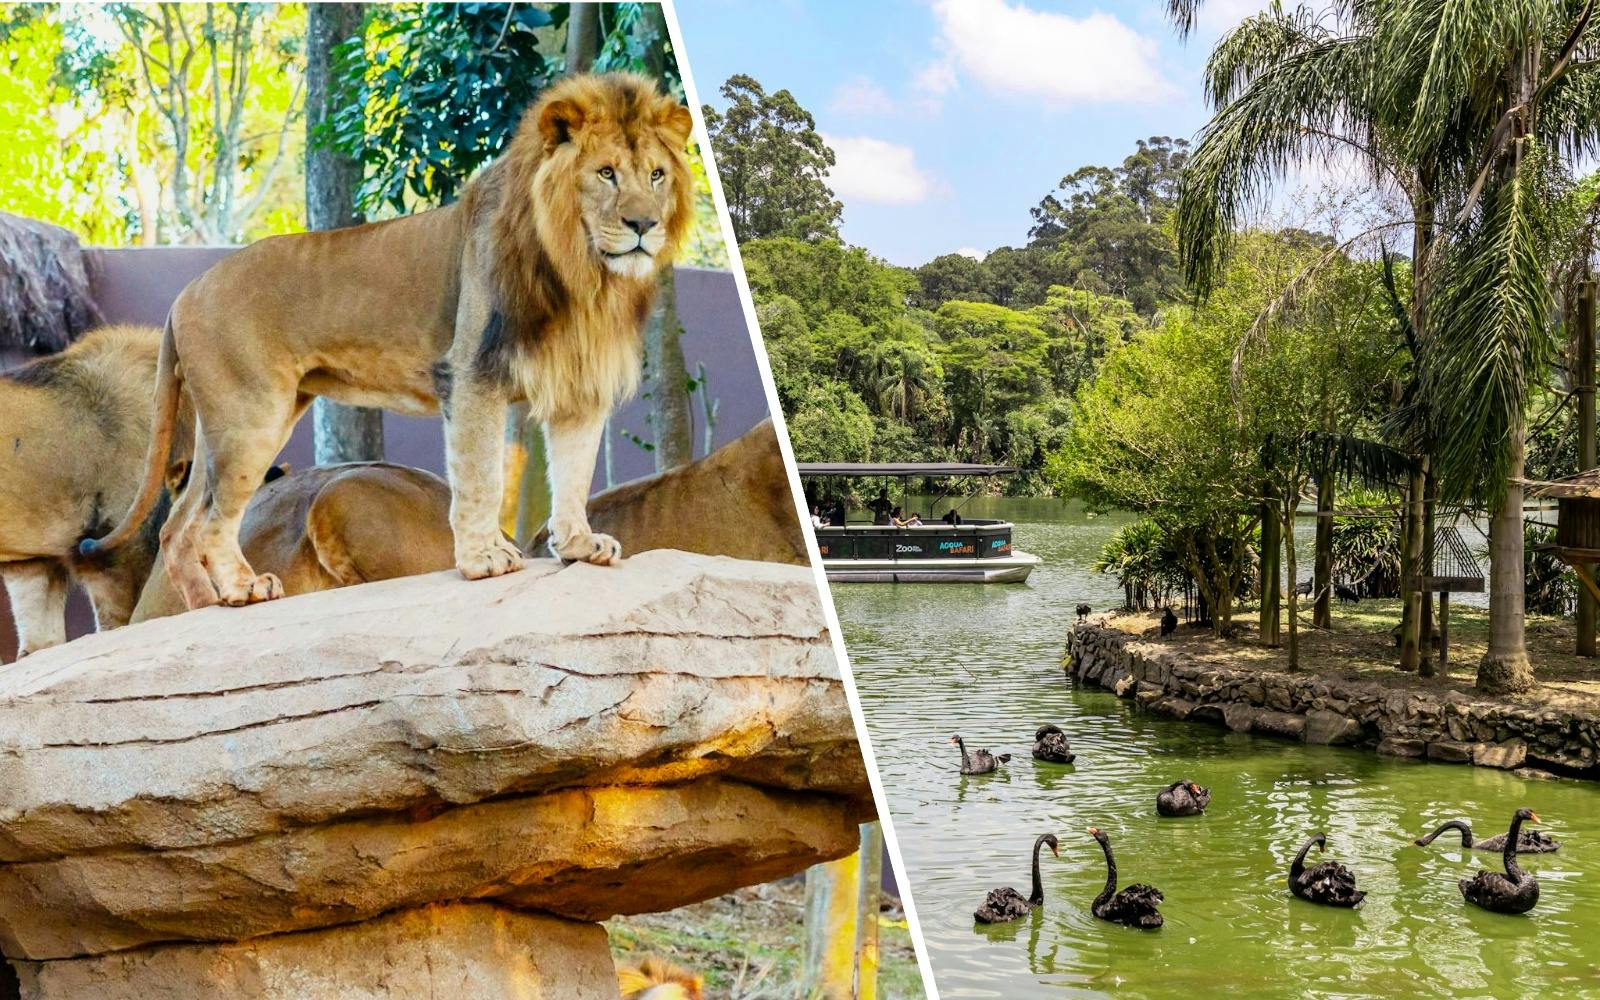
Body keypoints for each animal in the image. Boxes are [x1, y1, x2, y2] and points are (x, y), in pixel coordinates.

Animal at [82, 72, 695, 610]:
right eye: (607, 173)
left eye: (656, 175)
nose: (644, 225)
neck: (583, 274)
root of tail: (184, 292)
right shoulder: (471, 372)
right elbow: (479, 476)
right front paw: (483, 560)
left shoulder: (577, 385)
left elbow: (573, 473)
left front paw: (579, 547)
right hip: (250, 415)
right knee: (211, 521)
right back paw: (242, 590)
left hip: (227, 423)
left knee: (179, 526)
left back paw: (207, 606)